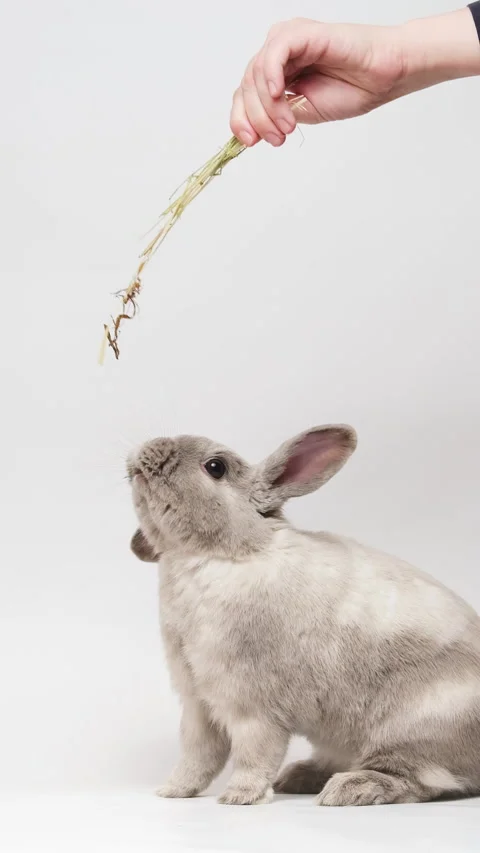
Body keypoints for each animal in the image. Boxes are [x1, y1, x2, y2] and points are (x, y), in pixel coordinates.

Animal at [127, 425, 480, 806]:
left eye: (215, 467)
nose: (147, 449)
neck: (223, 554)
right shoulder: (197, 704)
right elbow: (198, 756)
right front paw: (174, 791)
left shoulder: (251, 703)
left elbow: (254, 753)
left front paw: (240, 797)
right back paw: (299, 776)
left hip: (416, 729)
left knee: (419, 781)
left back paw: (348, 789)